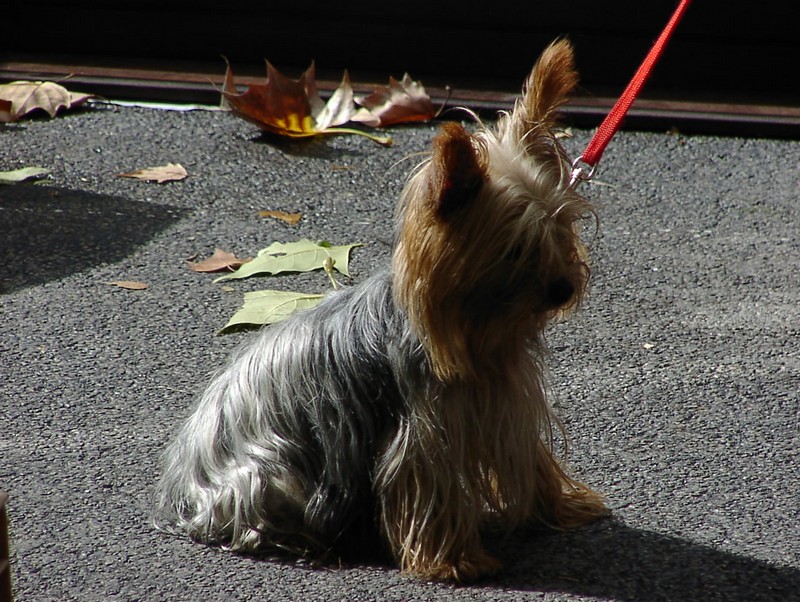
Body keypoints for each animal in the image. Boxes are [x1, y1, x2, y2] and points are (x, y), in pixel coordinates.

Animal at [155, 38, 608, 580]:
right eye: (514, 249)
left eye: (562, 228)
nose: (563, 289)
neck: (478, 329)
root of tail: (181, 489)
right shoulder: (423, 433)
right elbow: (429, 491)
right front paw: (455, 561)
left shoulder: (504, 405)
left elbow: (531, 460)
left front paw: (565, 507)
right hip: (270, 471)